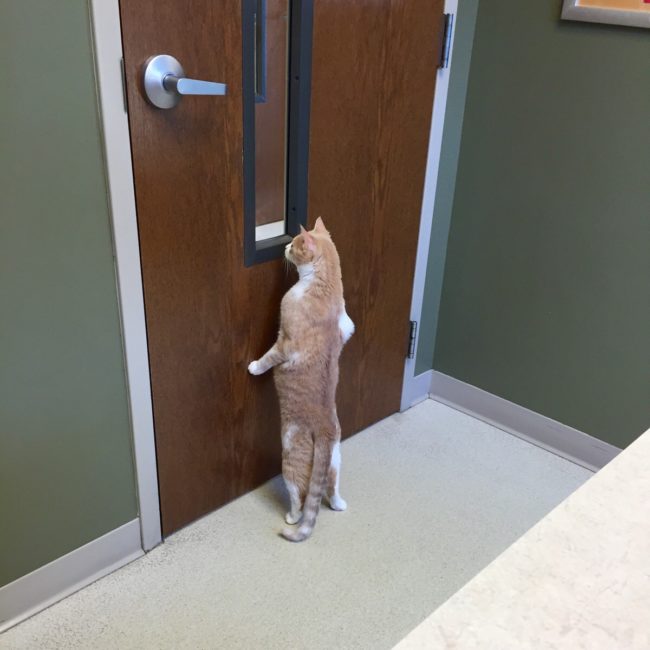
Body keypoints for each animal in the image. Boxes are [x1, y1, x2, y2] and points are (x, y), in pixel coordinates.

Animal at [248, 215, 352, 540]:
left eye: (293, 245)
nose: (284, 247)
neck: (325, 287)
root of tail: (326, 432)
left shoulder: (286, 343)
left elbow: (269, 357)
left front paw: (254, 366)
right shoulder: (347, 326)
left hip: (290, 464)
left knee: (301, 497)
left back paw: (292, 518)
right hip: (336, 460)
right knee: (330, 487)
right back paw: (339, 504)